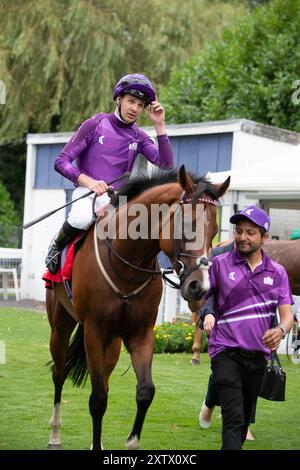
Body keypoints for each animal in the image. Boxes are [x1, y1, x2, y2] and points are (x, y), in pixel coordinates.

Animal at [46, 165, 230, 448]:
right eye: (187, 225)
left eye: (215, 230)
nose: (199, 287)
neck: (127, 263)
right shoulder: (94, 332)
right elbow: (98, 399)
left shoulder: (140, 334)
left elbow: (145, 391)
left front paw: (131, 441)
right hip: (61, 326)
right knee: (59, 372)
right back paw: (55, 433)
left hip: (113, 342)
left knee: (104, 378)